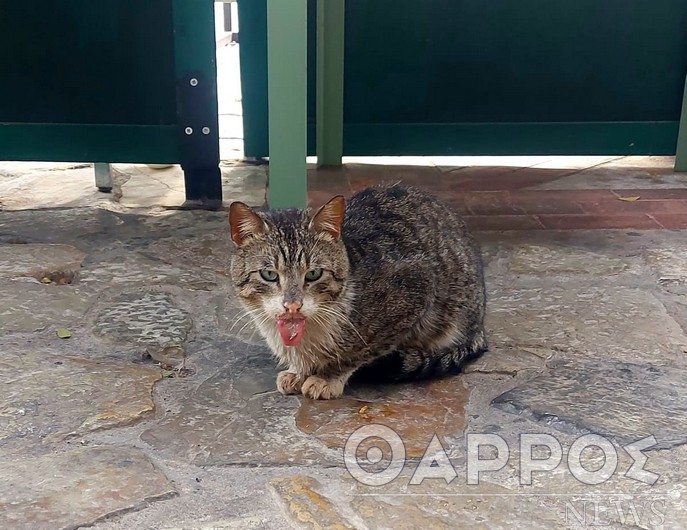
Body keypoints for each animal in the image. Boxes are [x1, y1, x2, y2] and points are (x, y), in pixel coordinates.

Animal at [231, 184, 490, 398]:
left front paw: (327, 377)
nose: (292, 304)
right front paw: (298, 371)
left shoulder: (417, 288)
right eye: (269, 275)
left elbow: (358, 352)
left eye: (313, 274)